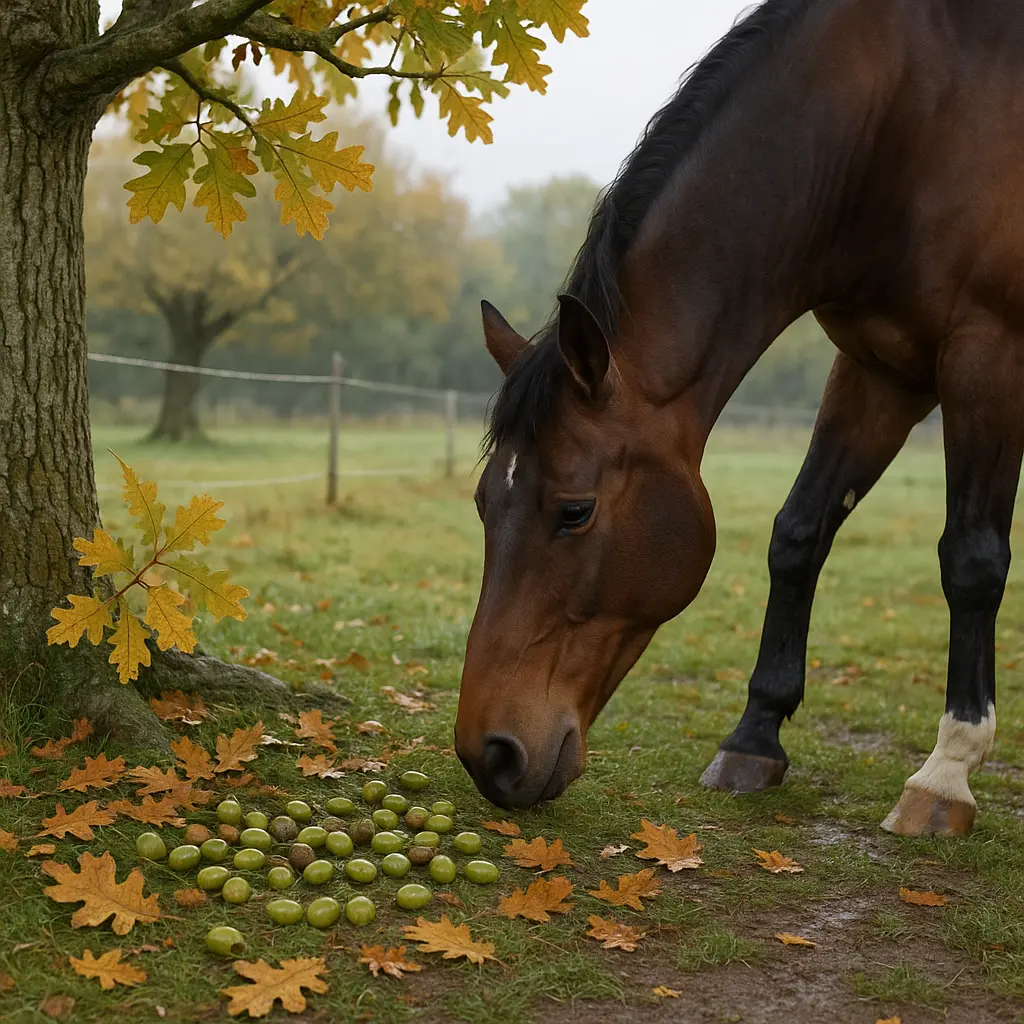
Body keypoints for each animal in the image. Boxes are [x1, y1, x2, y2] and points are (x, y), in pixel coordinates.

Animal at [454, 0, 1024, 836]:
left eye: (575, 511)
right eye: (483, 504)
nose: (487, 755)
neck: (909, 117)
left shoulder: (990, 356)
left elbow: (973, 561)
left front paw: (945, 775)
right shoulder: (880, 369)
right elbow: (798, 534)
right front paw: (755, 737)